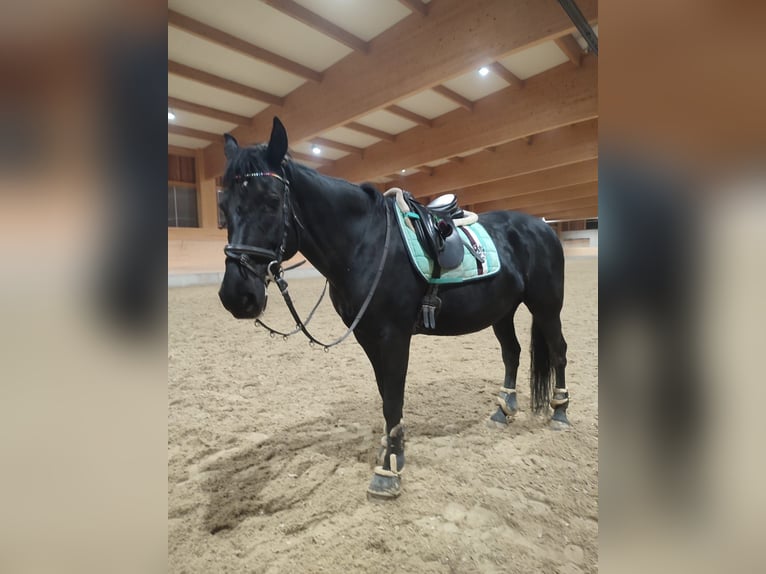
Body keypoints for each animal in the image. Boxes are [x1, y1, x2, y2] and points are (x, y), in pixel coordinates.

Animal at [216, 118, 568, 500]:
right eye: (223, 207)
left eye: (271, 199)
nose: (236, 295)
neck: (363, 243)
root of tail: (543, 226)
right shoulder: (367, 336)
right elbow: (386, 393)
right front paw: (392, 450)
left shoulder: (393, 335)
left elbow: (393, 397)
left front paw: (387, 471)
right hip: (501, 310)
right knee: (512, 353)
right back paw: (504, 410)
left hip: (547, 306)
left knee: (558, 351)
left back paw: (560, 413)